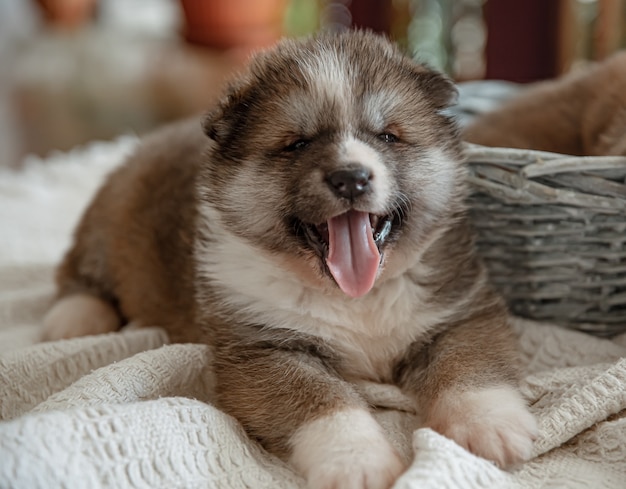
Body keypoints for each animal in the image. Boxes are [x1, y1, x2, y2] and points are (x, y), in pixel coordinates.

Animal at [44, 31, 532, 488]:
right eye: (297, 144)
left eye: (387, 136)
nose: (351, 178)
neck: (357, 298)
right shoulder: (265, 351)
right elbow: (323, 400)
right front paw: (358, 461)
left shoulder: (461, 313)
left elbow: (469, 366)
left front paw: (490, 428)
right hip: (107, 221)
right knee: (78, 273)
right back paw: (73, 321)